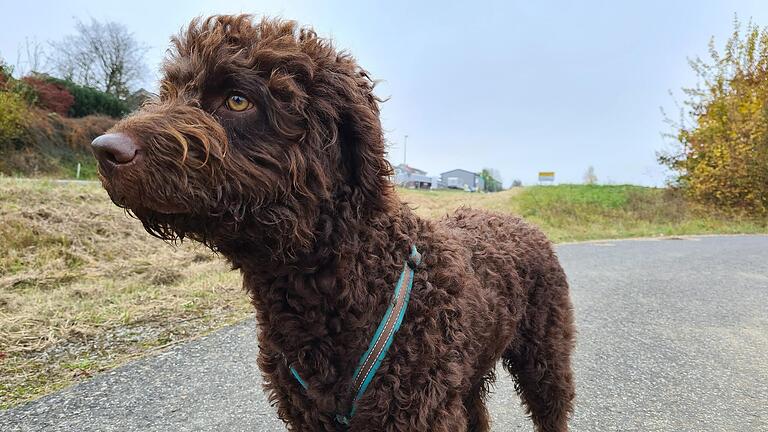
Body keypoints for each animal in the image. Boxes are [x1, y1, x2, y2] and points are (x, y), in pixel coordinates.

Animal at [91, 15, 576, 430]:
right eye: (170, 90)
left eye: (237, 99)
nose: (104, 148)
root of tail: (515, 220)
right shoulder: (313, 414)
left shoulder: (418, 409)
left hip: (544, 359)